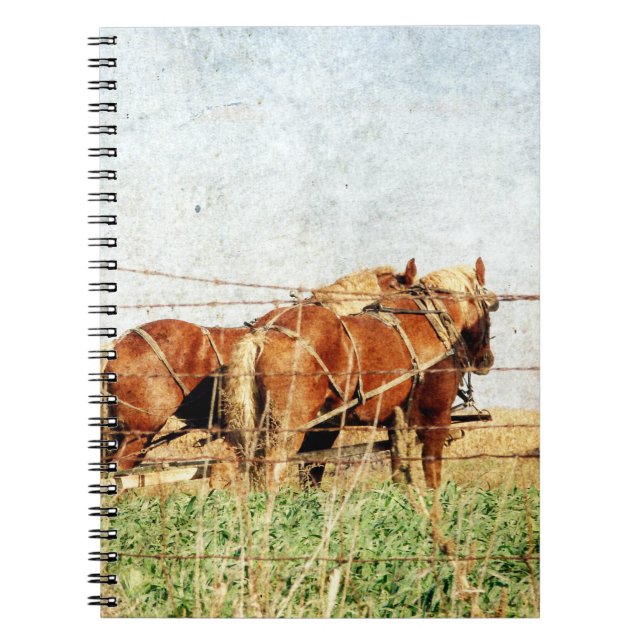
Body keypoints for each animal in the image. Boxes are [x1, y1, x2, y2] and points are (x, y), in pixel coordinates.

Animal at [224, 258, 498, 489]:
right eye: (487, 307)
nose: (486, 359)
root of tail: (262, 334)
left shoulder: (393, 422)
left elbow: (397, 471)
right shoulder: (435, 418)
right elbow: (432, 474)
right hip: (288, 426)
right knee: (271, 472)